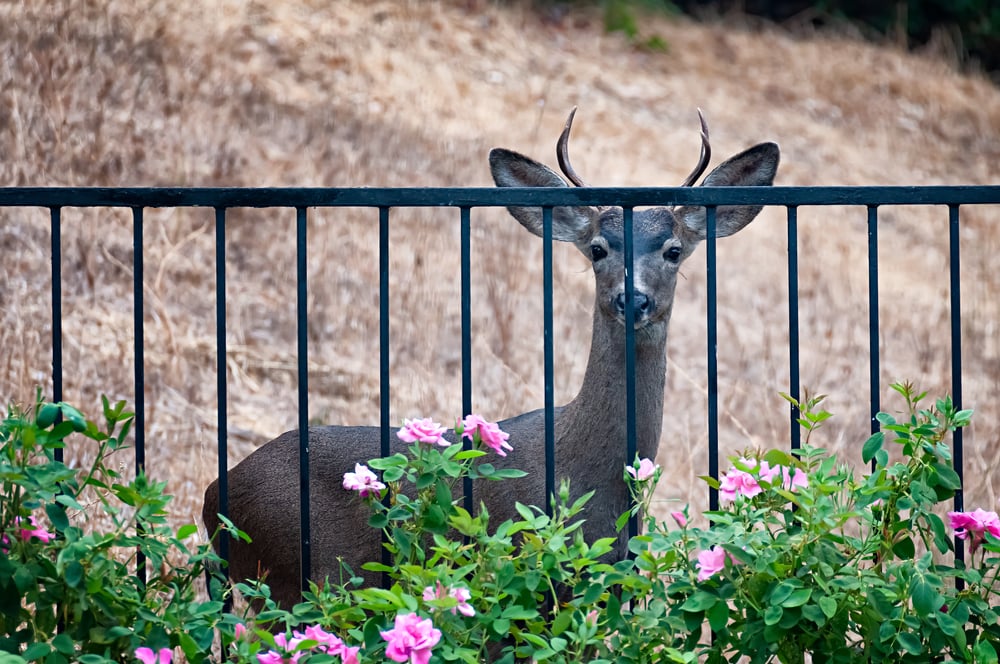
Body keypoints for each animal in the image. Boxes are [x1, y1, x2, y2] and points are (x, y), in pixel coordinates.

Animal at [202, 109, 780, 608]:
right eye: (597, 248)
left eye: (674, 250)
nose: (631, 298)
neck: (583, 473)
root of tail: (213, 498)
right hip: (294, 576)